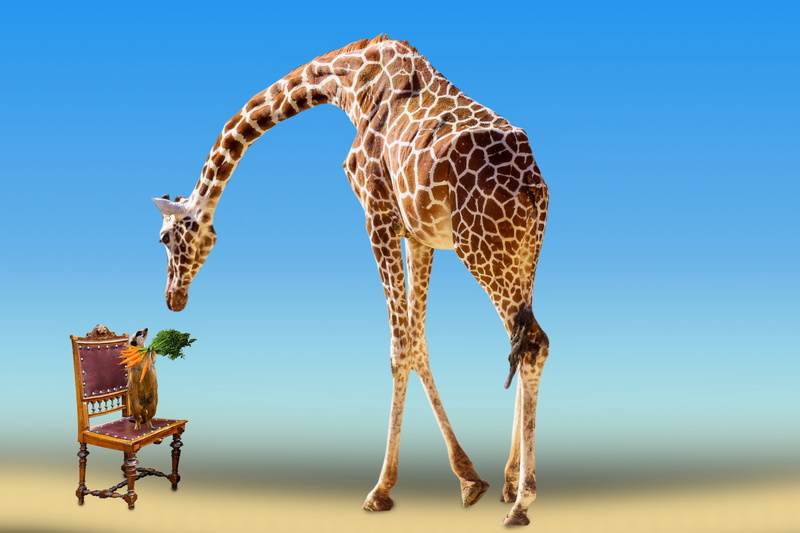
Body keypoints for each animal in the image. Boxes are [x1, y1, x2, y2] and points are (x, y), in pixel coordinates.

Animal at [153, 35, 549, 526]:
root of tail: (532, 183)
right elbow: (418, 342)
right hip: (522, 252)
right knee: (524, 339)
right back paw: (511, 482)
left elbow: (400, 349)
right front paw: (469, 479)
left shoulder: (377, 215)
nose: (173, 298)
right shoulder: (418, 234)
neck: (349, 82)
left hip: (481, 245)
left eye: (165, 238)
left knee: (532, 342)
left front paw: (381, 490)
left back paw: (522, 502)